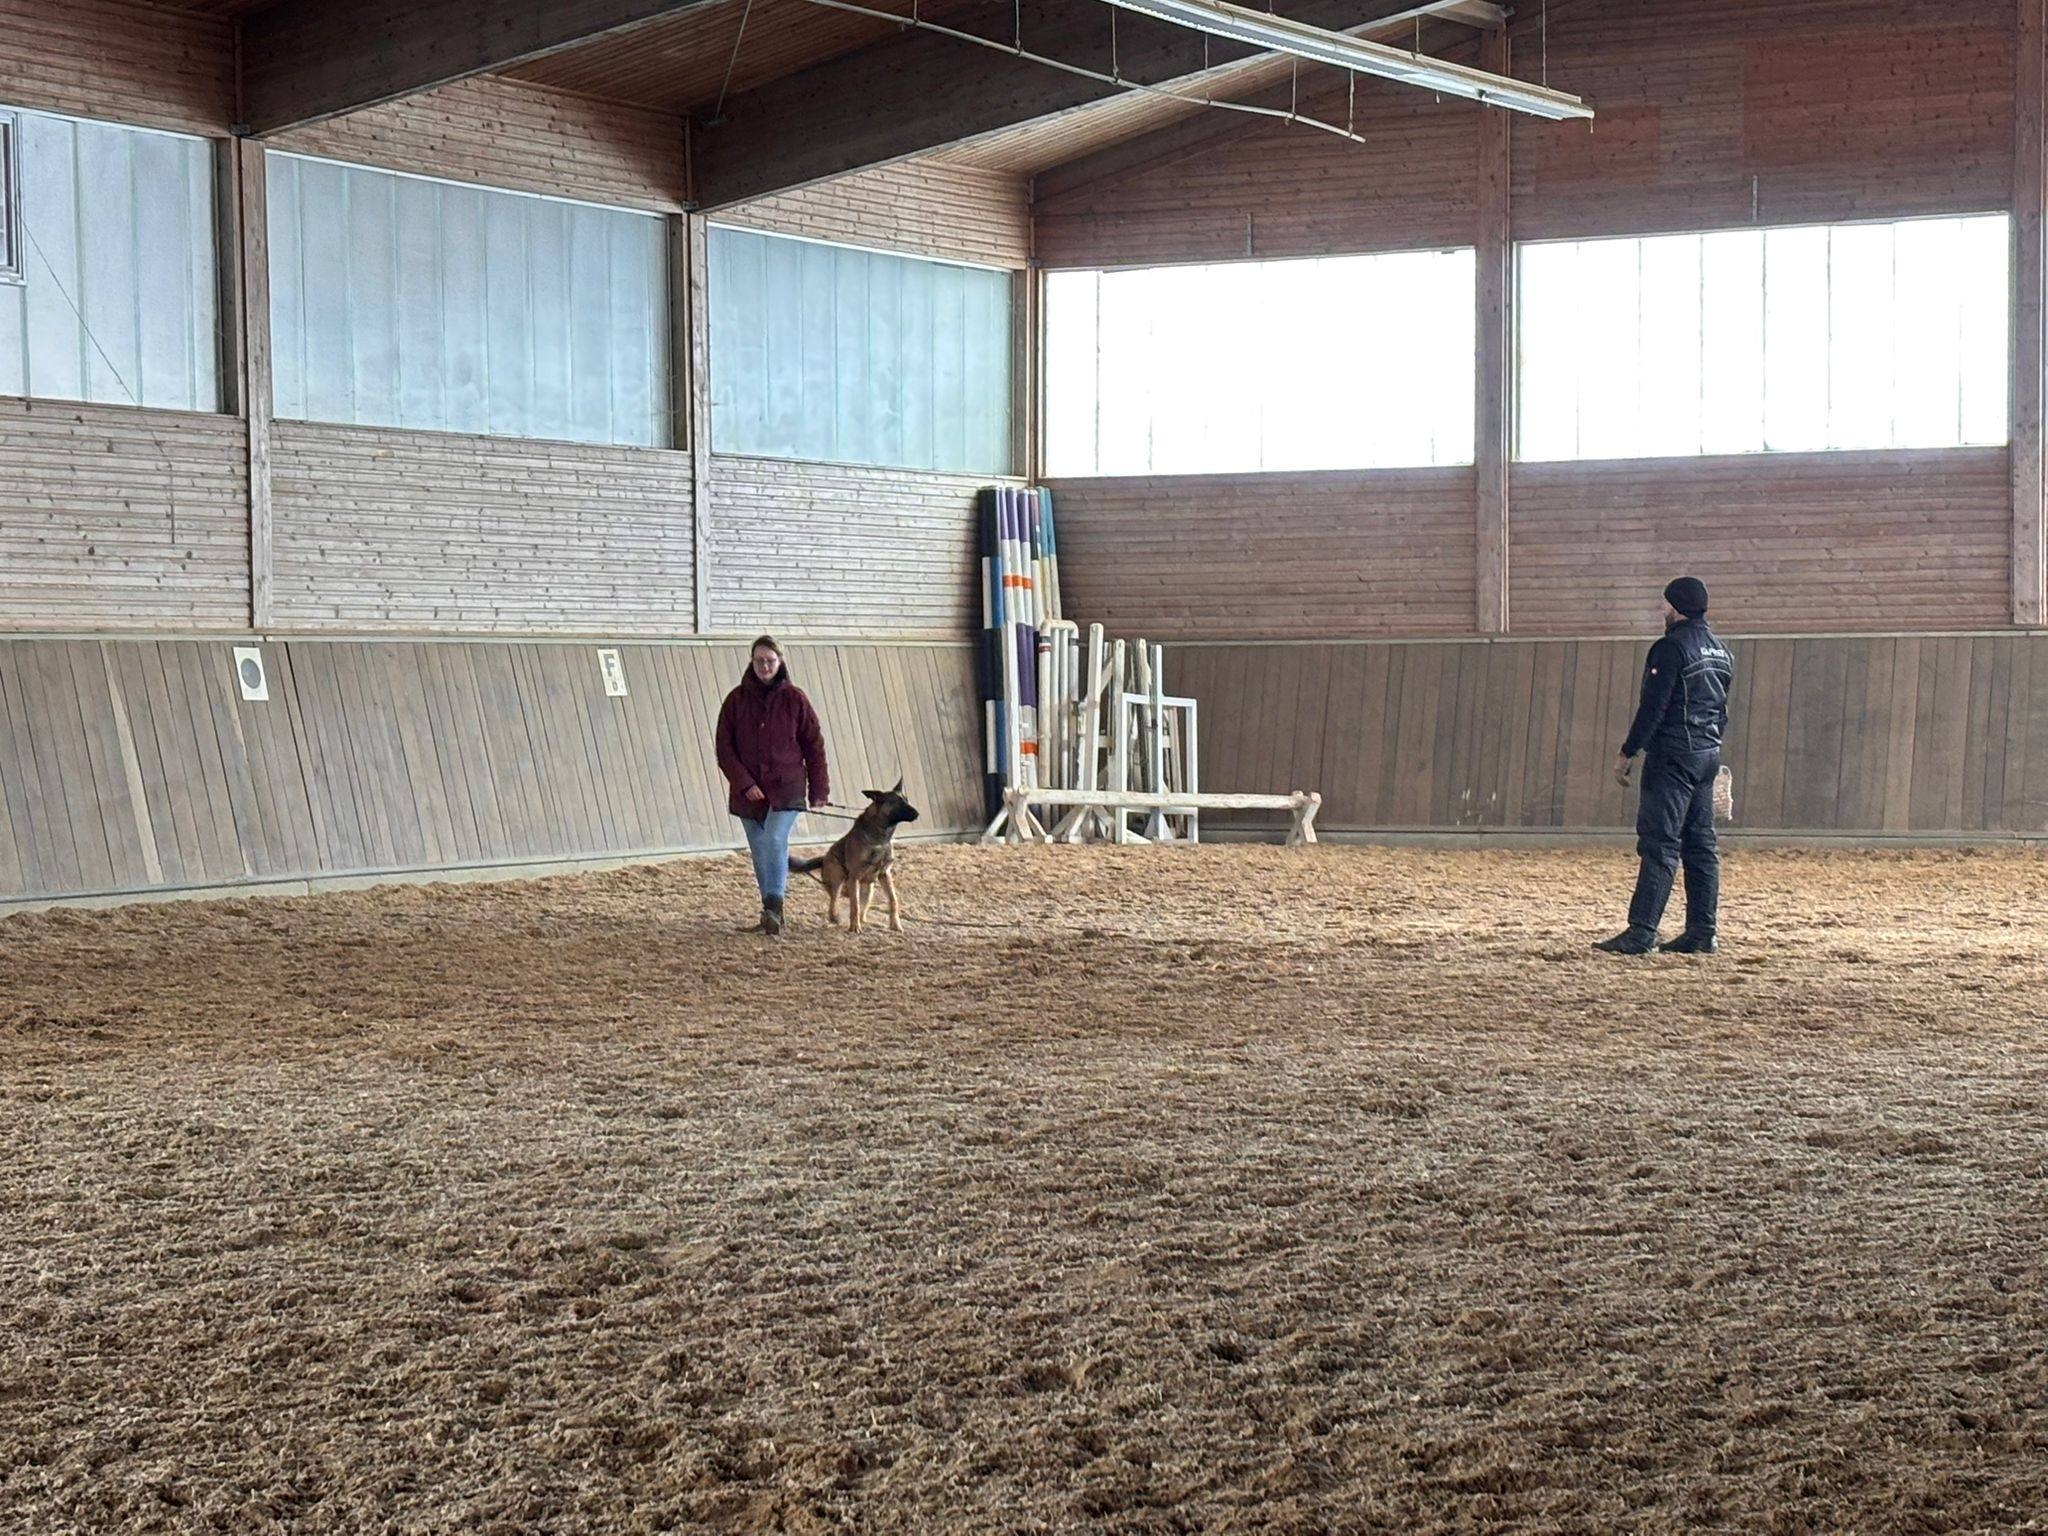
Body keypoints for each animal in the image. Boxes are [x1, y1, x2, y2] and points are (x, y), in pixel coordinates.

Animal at [788, 780, 920, 933]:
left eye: (906, 800)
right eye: (897, 802)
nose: (917, 814)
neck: (880, 837)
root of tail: (824, 858)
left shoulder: (884, 874)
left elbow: (893, 900)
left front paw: (895, 924)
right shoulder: (855, 876)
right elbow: (854, 905)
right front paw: (854, 927)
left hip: (869, 889)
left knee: (862, 913)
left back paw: (871, 924)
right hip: (838, 879)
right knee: (833, 904)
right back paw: (836, 919)